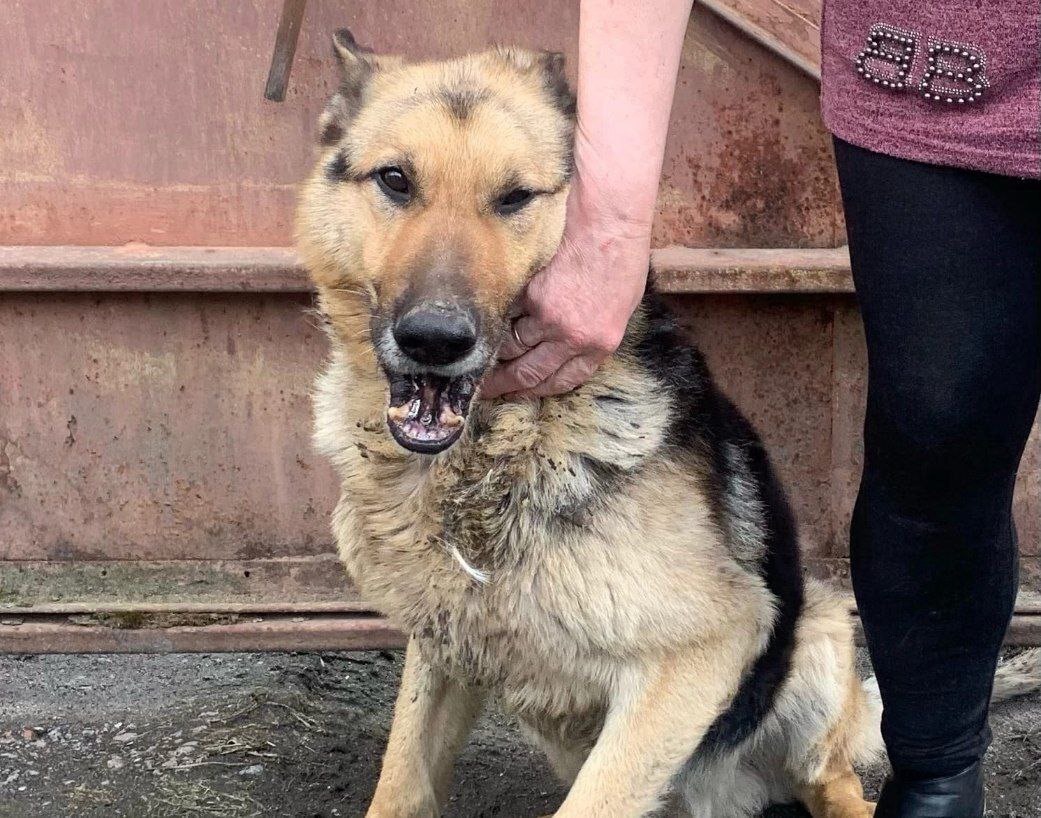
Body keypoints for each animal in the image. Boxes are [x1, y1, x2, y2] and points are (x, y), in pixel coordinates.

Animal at [295, 28, 1041, 811]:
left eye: (515, 197)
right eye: (395, 181)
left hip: (817, 636)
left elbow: (592, 802)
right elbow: (400, 781)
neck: (496, 453)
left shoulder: (705, 648)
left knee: (831, 778)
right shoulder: (442, 647)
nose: (434, 340)